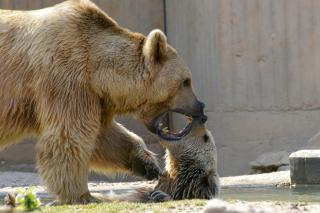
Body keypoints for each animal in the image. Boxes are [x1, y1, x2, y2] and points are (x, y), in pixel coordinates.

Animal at [0, 0, 205, 204]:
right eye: (186, 81)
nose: (201, 108)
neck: (96, 70)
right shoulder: (64, 79)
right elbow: (70, 135)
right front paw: (85, 195)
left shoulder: (96, 98)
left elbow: (104, 136)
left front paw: (149, 165)